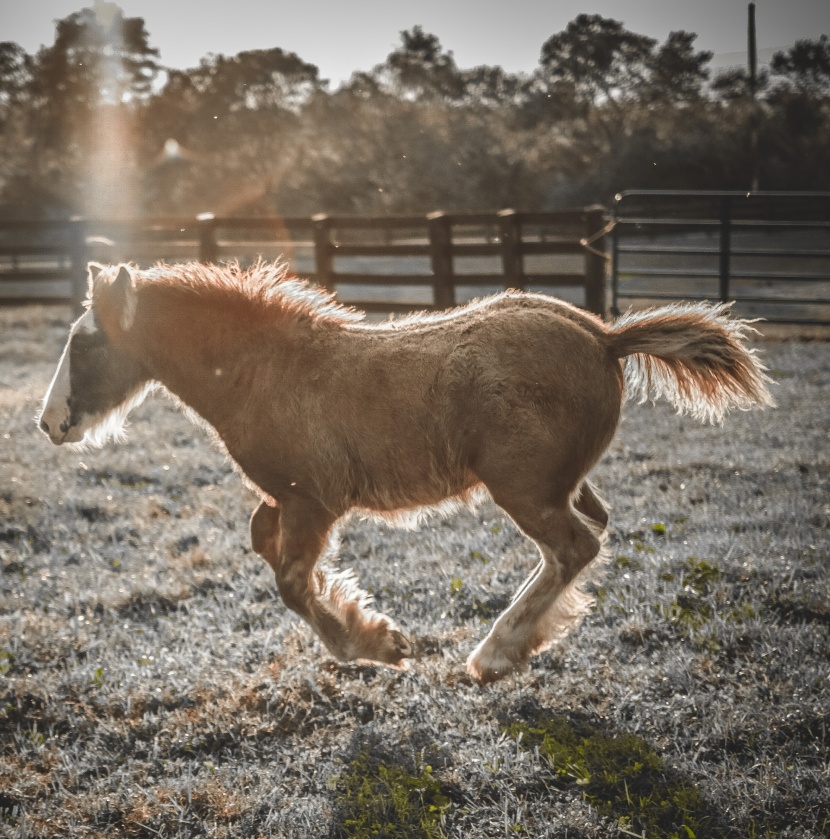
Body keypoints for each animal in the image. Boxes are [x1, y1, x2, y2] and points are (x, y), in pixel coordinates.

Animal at [39, 262, 776, 684]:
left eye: (85, 342)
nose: (50, 423)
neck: (264, 373)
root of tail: (604, 335)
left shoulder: (312, 502)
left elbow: (291, 582)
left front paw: (377, 644)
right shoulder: (285, 499)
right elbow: (265, 546)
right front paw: (363, 615)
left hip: (522, 488)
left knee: (575, 546)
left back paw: (493, 654)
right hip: (557, 484)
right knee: (588, 534)